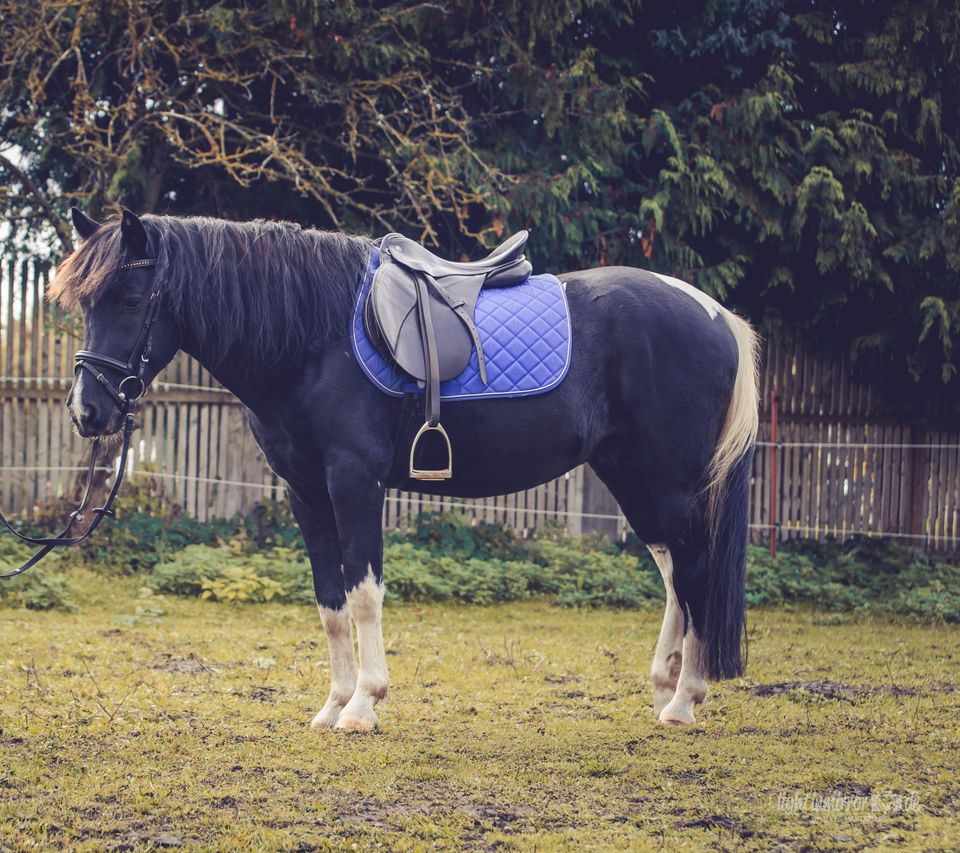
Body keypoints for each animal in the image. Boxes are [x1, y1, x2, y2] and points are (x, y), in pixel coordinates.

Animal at [52, 206, 760, 724]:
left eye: (131, 297)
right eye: (85, 302)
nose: (88, 411)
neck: (312, 339)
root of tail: (715, 314)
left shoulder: (354, 482)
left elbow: (365, 595)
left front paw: (364, 706)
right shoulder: (306, 493)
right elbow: (330, 600)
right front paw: (333, 705)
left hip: (671, 480)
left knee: (694, 570)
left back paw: (685, 701)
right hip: (629, 475)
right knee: (673, 573)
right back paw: (663, 685)